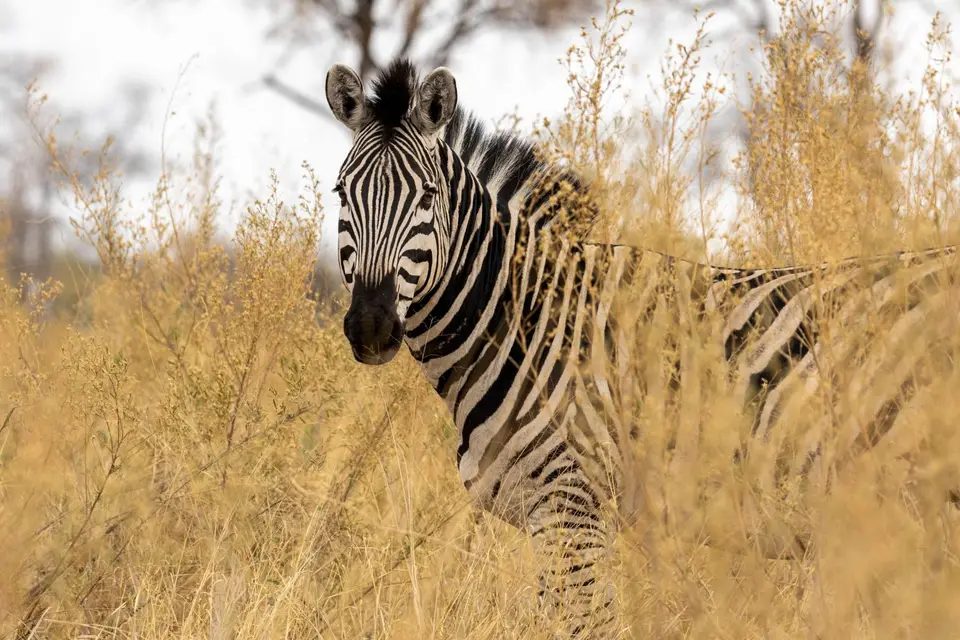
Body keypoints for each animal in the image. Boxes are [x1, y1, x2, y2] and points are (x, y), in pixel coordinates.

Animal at [325, 57, 960, 637]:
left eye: (427, 197)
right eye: (340, 193)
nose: (371, 326)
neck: (523, 321)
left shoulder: (573, 506)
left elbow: (591, 626)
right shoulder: (547, 514)